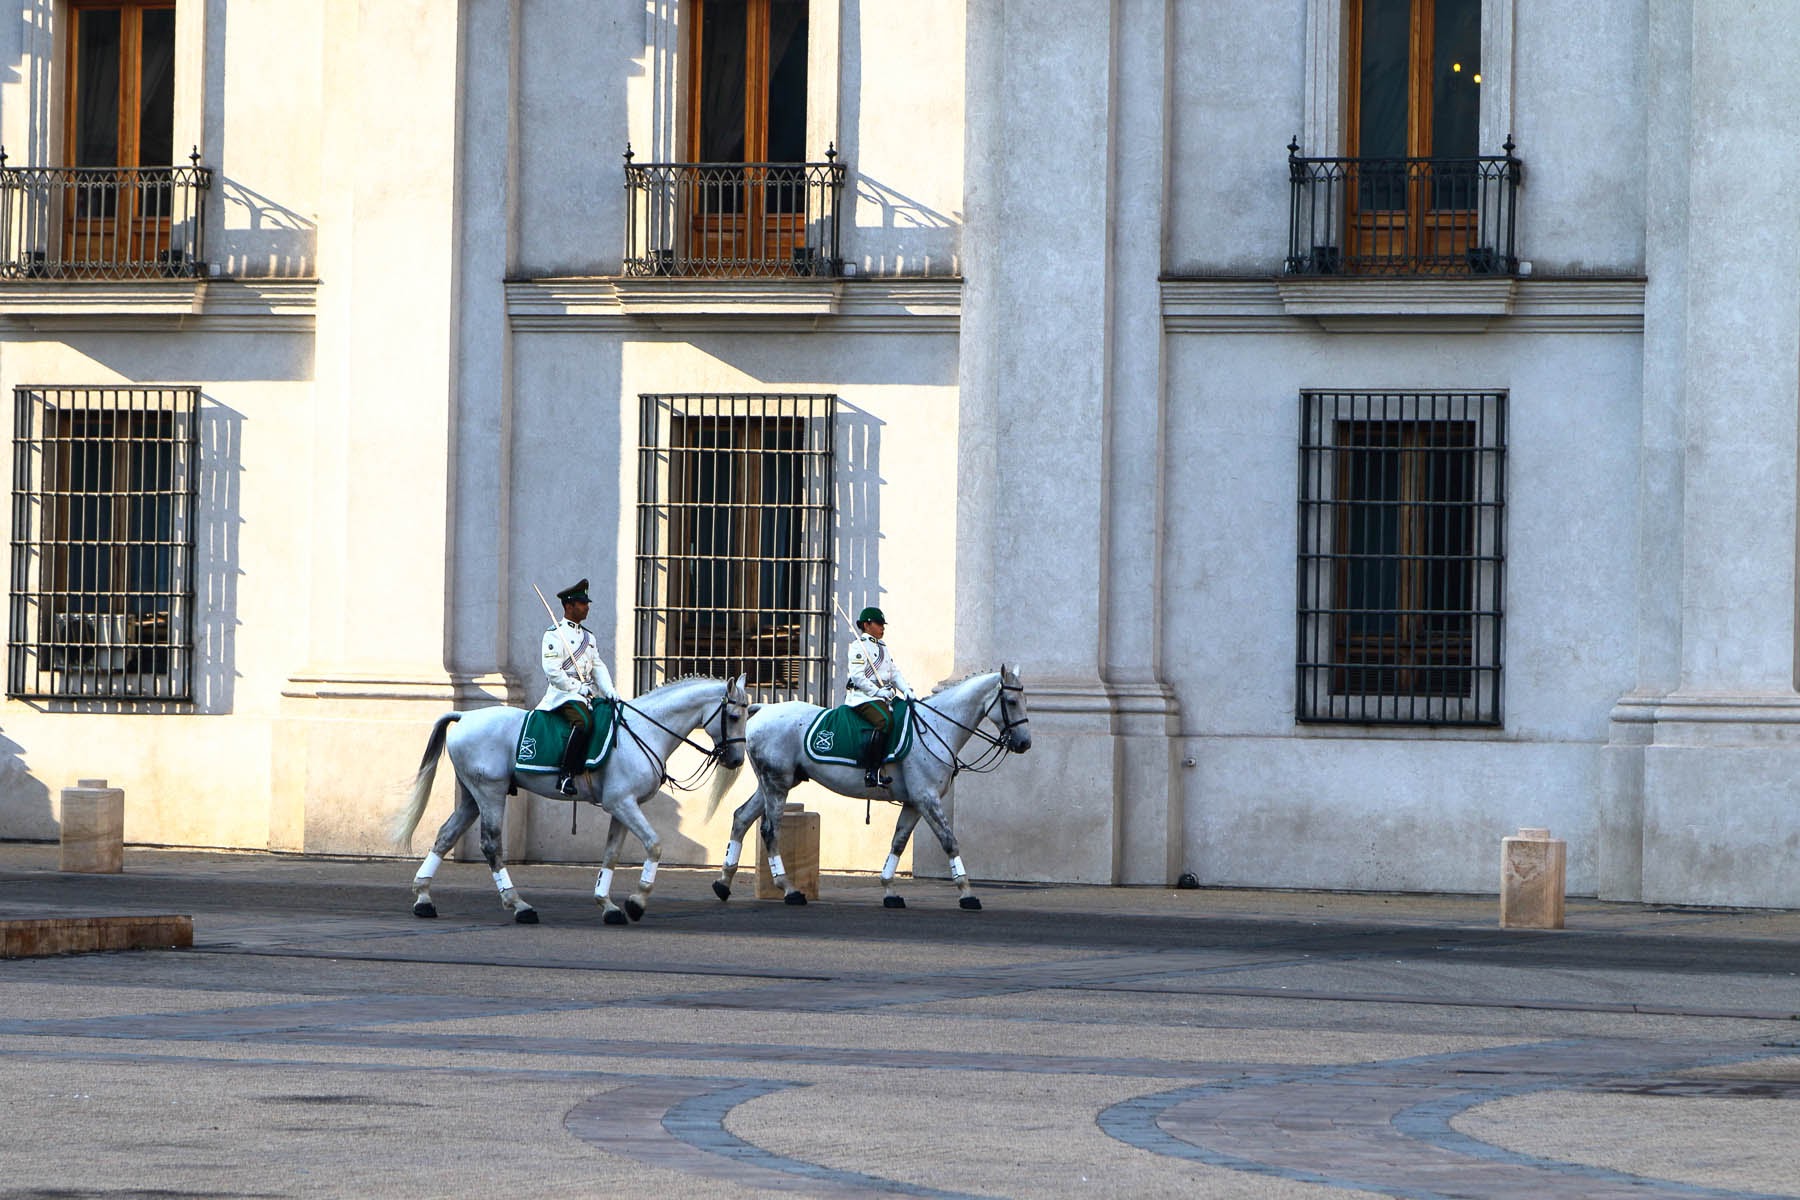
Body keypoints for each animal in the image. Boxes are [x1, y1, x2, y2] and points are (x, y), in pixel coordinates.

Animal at [397, 680, 748, 928]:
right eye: (733, 716)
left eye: (747, 714)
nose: (736, 760)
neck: (643, 731)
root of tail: (465, 715)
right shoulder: (623, 804)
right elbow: (654, 844)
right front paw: (637, 901)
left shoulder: (622, 807)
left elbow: (611, 854)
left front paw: (608, 905)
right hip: (490, 792)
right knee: (491, 844)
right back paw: (519, 905)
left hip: (472, 796)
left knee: (446, 835)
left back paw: (424, 899)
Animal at [709, 665, 1036, 910]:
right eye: (1011, 702)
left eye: (1025, 701)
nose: (1024, 743)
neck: (935, 728)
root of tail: (762, 709)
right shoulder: (927, 799)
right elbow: (950, 841)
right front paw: (967, 893)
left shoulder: (914, 803)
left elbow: (898, 842)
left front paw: (889, 890)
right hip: (777, 784)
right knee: (770, 830)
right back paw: (789, 889)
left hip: (771, 784)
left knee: (741, 818)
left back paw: (724, 883)